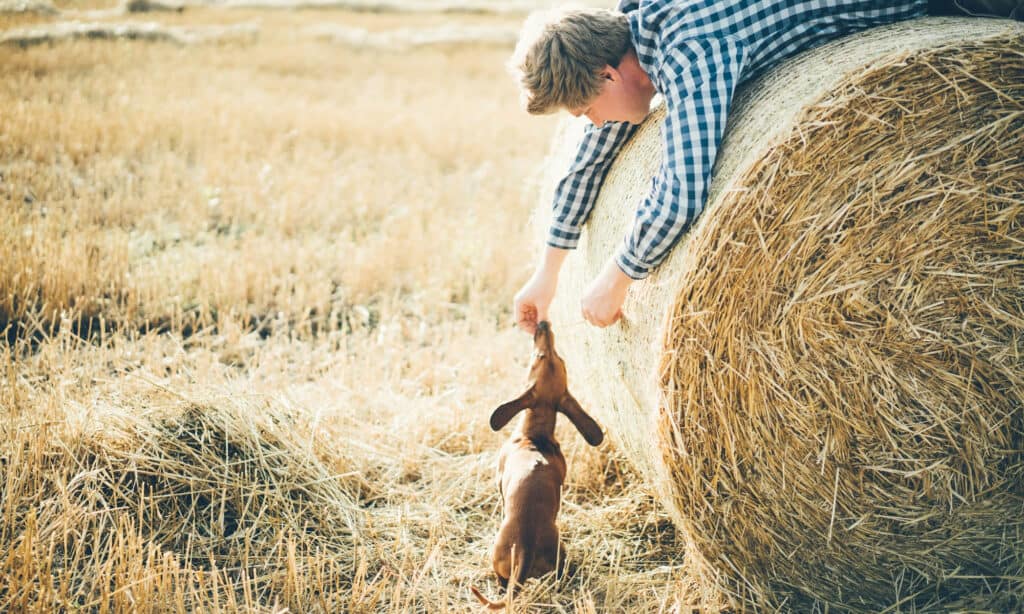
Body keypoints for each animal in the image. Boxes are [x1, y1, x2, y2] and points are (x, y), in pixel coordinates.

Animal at [473, 321, 606, 609]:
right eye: (558, 358)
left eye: (539, 357)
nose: (544, 324)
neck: (535, 437)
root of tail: (526, 546)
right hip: (557, 553)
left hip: (498, 556)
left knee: (502, 581)